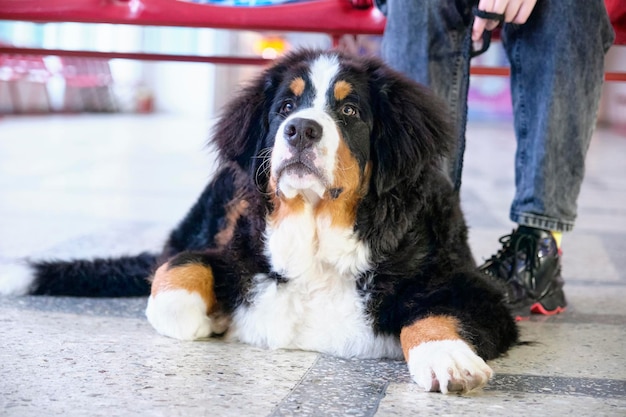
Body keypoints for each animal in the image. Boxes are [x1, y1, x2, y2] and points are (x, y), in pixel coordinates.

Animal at [1, 48, 516, 394]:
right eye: (285, 107)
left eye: (350, 111)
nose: (301, 129)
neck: (316, 237)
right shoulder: (235, 251)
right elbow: (176, 279)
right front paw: (207, 317)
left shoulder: (472, 286)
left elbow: (432, 313)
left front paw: (447, 357)